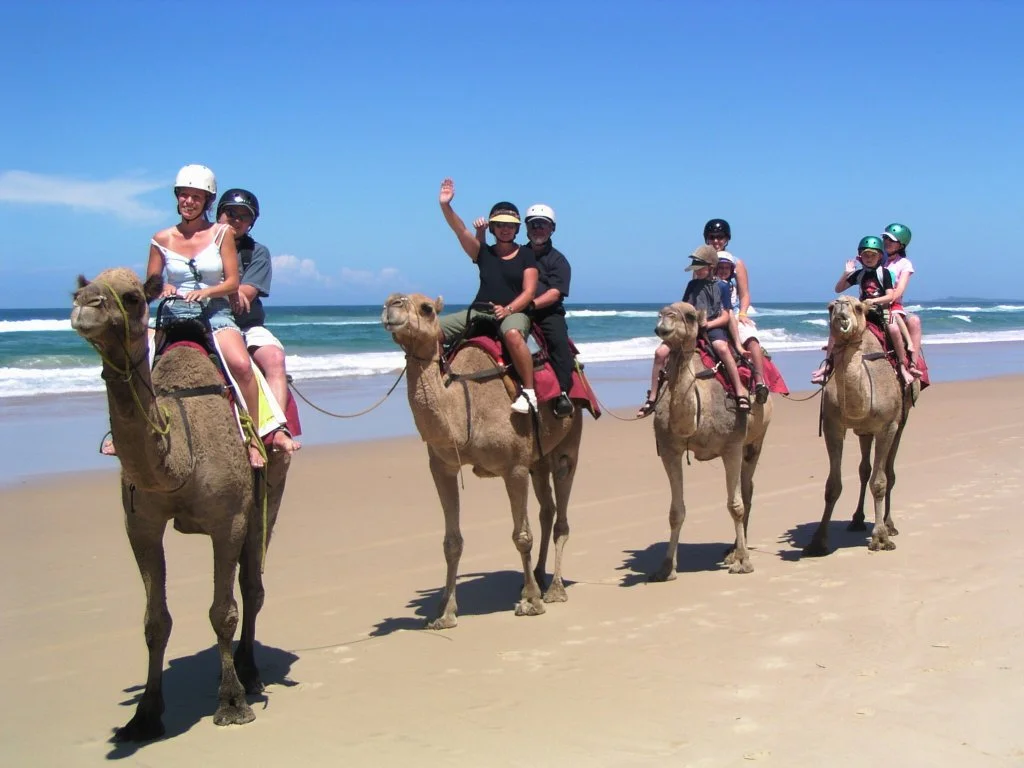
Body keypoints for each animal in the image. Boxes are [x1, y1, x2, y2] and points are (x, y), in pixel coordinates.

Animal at [71, 268, 291, 741]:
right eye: (78, 290)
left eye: (132, 297)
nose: (85, 306)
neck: (181, 456)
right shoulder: (141, 526)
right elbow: (156, 621)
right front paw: (144, 715)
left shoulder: (229, 520)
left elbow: (223, 611)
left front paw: (232, 704)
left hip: (270, 492)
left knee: (253, 585)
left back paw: (249, 672)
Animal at [381, 293, 583, 629]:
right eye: (385, 301)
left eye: (426, 308)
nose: (392, 305)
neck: (466, 406)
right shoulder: (442, 467)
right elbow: (452, 542)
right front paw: (445, 613)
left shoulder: (514, 467)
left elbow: (521, 536)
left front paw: (531, 603)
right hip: (538, 459)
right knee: (547, 510)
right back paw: (537, 576)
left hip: (569, 440)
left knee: (562, 511)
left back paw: (553, 589)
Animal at [647, 302, 773, 581]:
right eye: (661, 312)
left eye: (690, 315)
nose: (663, 326)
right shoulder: (669, 450)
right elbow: (676, 511)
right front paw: (665, 568)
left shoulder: (732, 447)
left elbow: (735, 505)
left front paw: (743, 562)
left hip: (756, 439)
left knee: (746, 490)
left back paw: (735, 551)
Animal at [803, 295, 913, 556]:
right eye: (830, 308)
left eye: (859, 307)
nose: (841, 308)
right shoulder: (833, 427)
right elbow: (832, 486)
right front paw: (817, 541)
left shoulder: (888, 427)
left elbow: (880, 481)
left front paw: (881, 538)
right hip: (864, 431)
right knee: (864, 470)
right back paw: (856, 519)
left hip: (901, 423)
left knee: (889, 471)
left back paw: (889, 525)